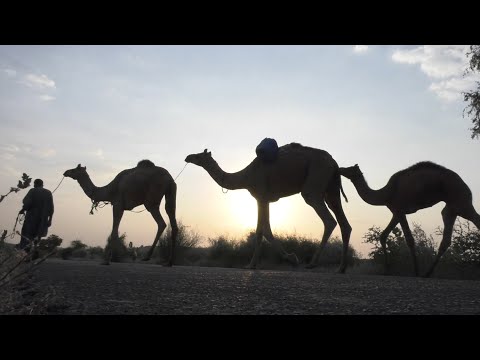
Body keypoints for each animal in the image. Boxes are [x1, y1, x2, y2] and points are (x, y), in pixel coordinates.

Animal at [185, 142, 352, 272]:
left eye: (199, 156)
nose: (188, 157)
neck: (246, 176)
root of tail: (335, 164)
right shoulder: (266, 200)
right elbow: (266, 230)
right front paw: (287, 259)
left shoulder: (260, 197)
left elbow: (261, 231)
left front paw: (253, 265)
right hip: (331, 189)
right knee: (344, 223)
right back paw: (341, 268)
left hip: (315, 180)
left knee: (329, 220)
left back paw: (312, 263)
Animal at [340, 162, 480, 278]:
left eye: (349, 168)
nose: (340, 168)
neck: (386, 194)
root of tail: (465, 186)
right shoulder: (396, 213)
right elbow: (383, 236)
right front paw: (386, 270)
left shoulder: (400, 211)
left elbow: (409, 240)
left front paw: (416, 272)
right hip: (451, 209)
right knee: (446, 237)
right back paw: (427, 273)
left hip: (461, 202)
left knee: (475, 219)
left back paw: (425, 273)